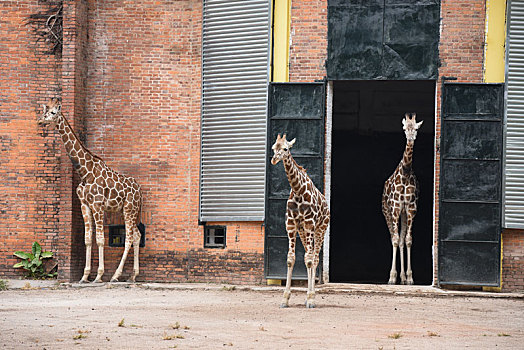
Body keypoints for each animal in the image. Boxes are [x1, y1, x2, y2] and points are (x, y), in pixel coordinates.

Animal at [38, 97, 143, 284]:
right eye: (44, 110)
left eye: (53, 112)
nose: (40, 121)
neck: (85, 172)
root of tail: (139, 191)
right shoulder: (84, 205)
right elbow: (87, 239)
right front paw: (84, 276)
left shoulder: (98, 205)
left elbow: (100, 240)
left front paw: (99, 276)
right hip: (128, 210)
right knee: (137, 236)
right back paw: (132, 276)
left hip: (129, 209)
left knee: (130, 237)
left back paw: (115, 275)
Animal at [272, 133, 330, 308]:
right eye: (273, 147)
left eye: (285, 148)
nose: (274, 159)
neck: (298, 191)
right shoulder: (291, 225)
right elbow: (291, 259)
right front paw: (285, 299)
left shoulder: (310, 224)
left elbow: (310, 260)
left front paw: (310, 299)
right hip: (303, 232)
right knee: (307, 256)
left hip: (320, 229)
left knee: (314, 258)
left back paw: (312, 296)